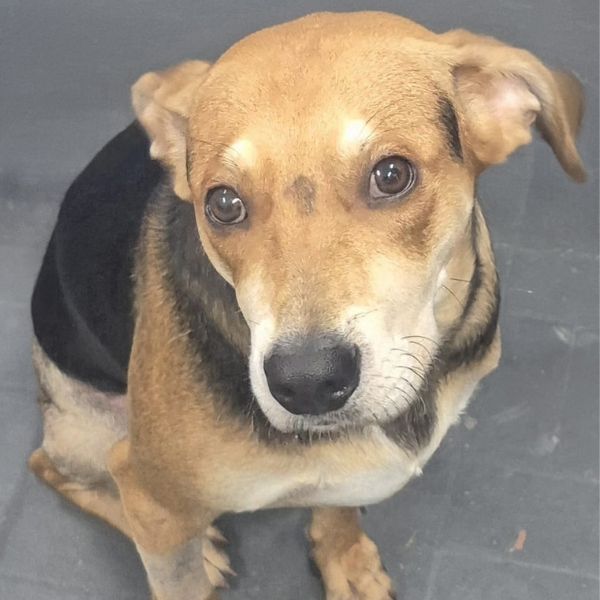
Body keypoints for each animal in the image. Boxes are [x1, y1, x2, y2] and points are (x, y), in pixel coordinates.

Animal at [29, 11, 585, 600]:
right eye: (223, 204)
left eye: (392, 174)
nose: (308, 382)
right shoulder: (154, 495)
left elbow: (339, 508)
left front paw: (344, 558)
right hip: (92, 433)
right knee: (56, 468)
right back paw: (201, 547)